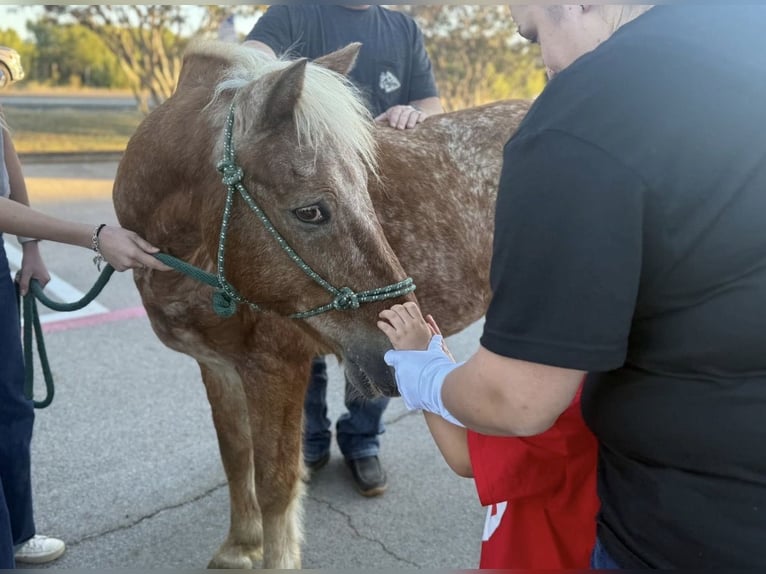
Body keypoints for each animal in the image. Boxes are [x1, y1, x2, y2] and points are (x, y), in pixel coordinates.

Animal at [113, 40, 530, 569]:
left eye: (367, 191)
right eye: (311, 210)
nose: (401, 348)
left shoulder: (275, 368)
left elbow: (275, 483)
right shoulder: (218, 367)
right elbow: (235, 459)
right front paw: (239, 546)